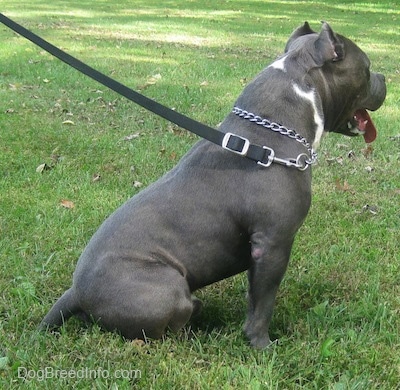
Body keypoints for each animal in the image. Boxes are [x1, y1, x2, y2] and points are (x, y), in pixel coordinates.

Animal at [39, 22, 384, 348]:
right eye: (367, 68)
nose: (384, 77)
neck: (270, 138)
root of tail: (74, 292)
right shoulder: (273, 243)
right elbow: (263, 305)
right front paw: (261, 345)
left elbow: (254, 297)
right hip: (167, 287)